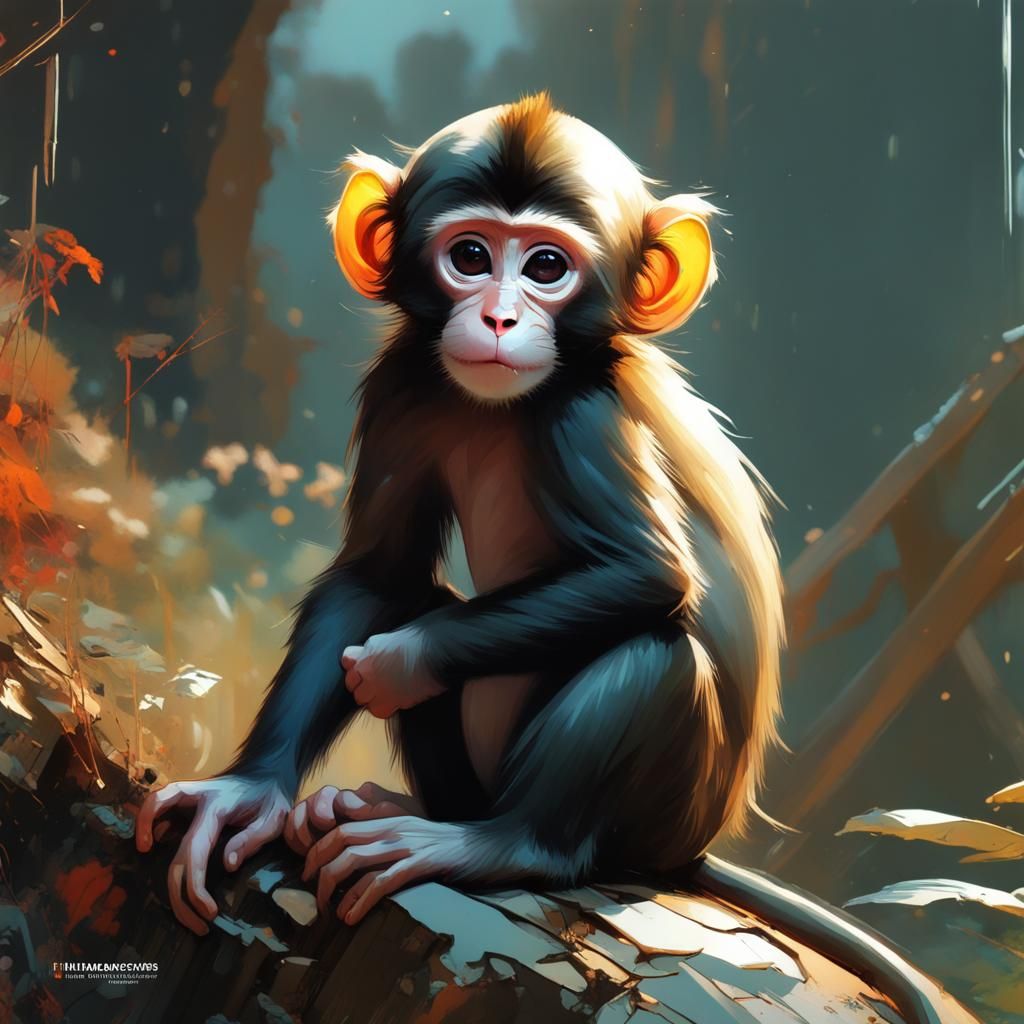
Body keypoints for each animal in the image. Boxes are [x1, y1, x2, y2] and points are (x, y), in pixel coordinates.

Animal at [137, 95, 975, 1024]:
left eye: (546, 266)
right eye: (470, 256)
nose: (501, 318)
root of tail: (693, 852)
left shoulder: (583, 414)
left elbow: (646, 577)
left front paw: (394, 663)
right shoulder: (403, 380)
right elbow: (377, 575)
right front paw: (248, 791)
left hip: (654, 819)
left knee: (651, 654)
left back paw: (499, 846)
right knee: (436, 603)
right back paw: (402, 806)